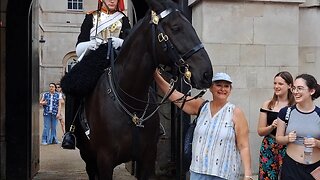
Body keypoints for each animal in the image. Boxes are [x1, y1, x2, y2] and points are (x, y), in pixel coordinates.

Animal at [62, 0, 212, 179]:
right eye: (176, 28)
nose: (207, 74)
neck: (131, 102)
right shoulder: (104, 160)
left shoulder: (148, 158)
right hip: (88, 156)